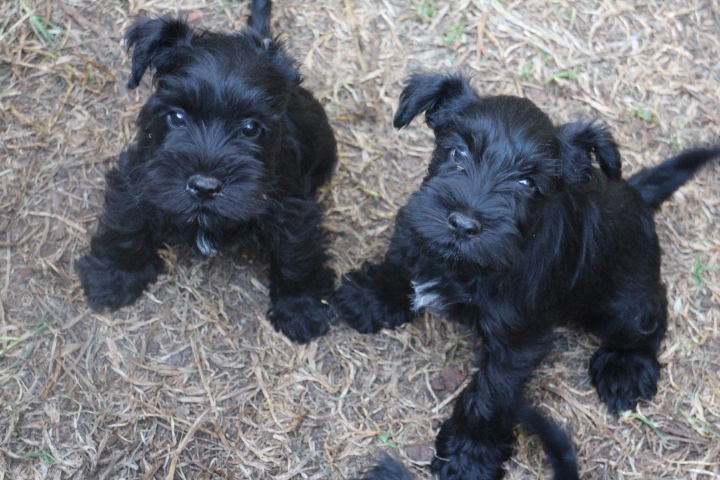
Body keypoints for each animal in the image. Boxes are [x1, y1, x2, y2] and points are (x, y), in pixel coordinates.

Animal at [74, 0, 338, 344]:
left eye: (250, 127)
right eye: (176, 116)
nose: (204, 187)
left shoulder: (293, 209)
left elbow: (297, 255)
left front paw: (301, 306)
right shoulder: (138, 177)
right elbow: (126, 224)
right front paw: (113, 275)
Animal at [334, 73, 716, 478]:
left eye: (527, 183)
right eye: (458, 153)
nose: (463, 225)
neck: (465, 270)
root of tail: (638, 195)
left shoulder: (515, 344)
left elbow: (489, 396)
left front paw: (469, 455)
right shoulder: (417, 232)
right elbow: (404, 262)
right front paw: (370, 296)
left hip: (622, 304)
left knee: (651, 318)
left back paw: (624, 370)